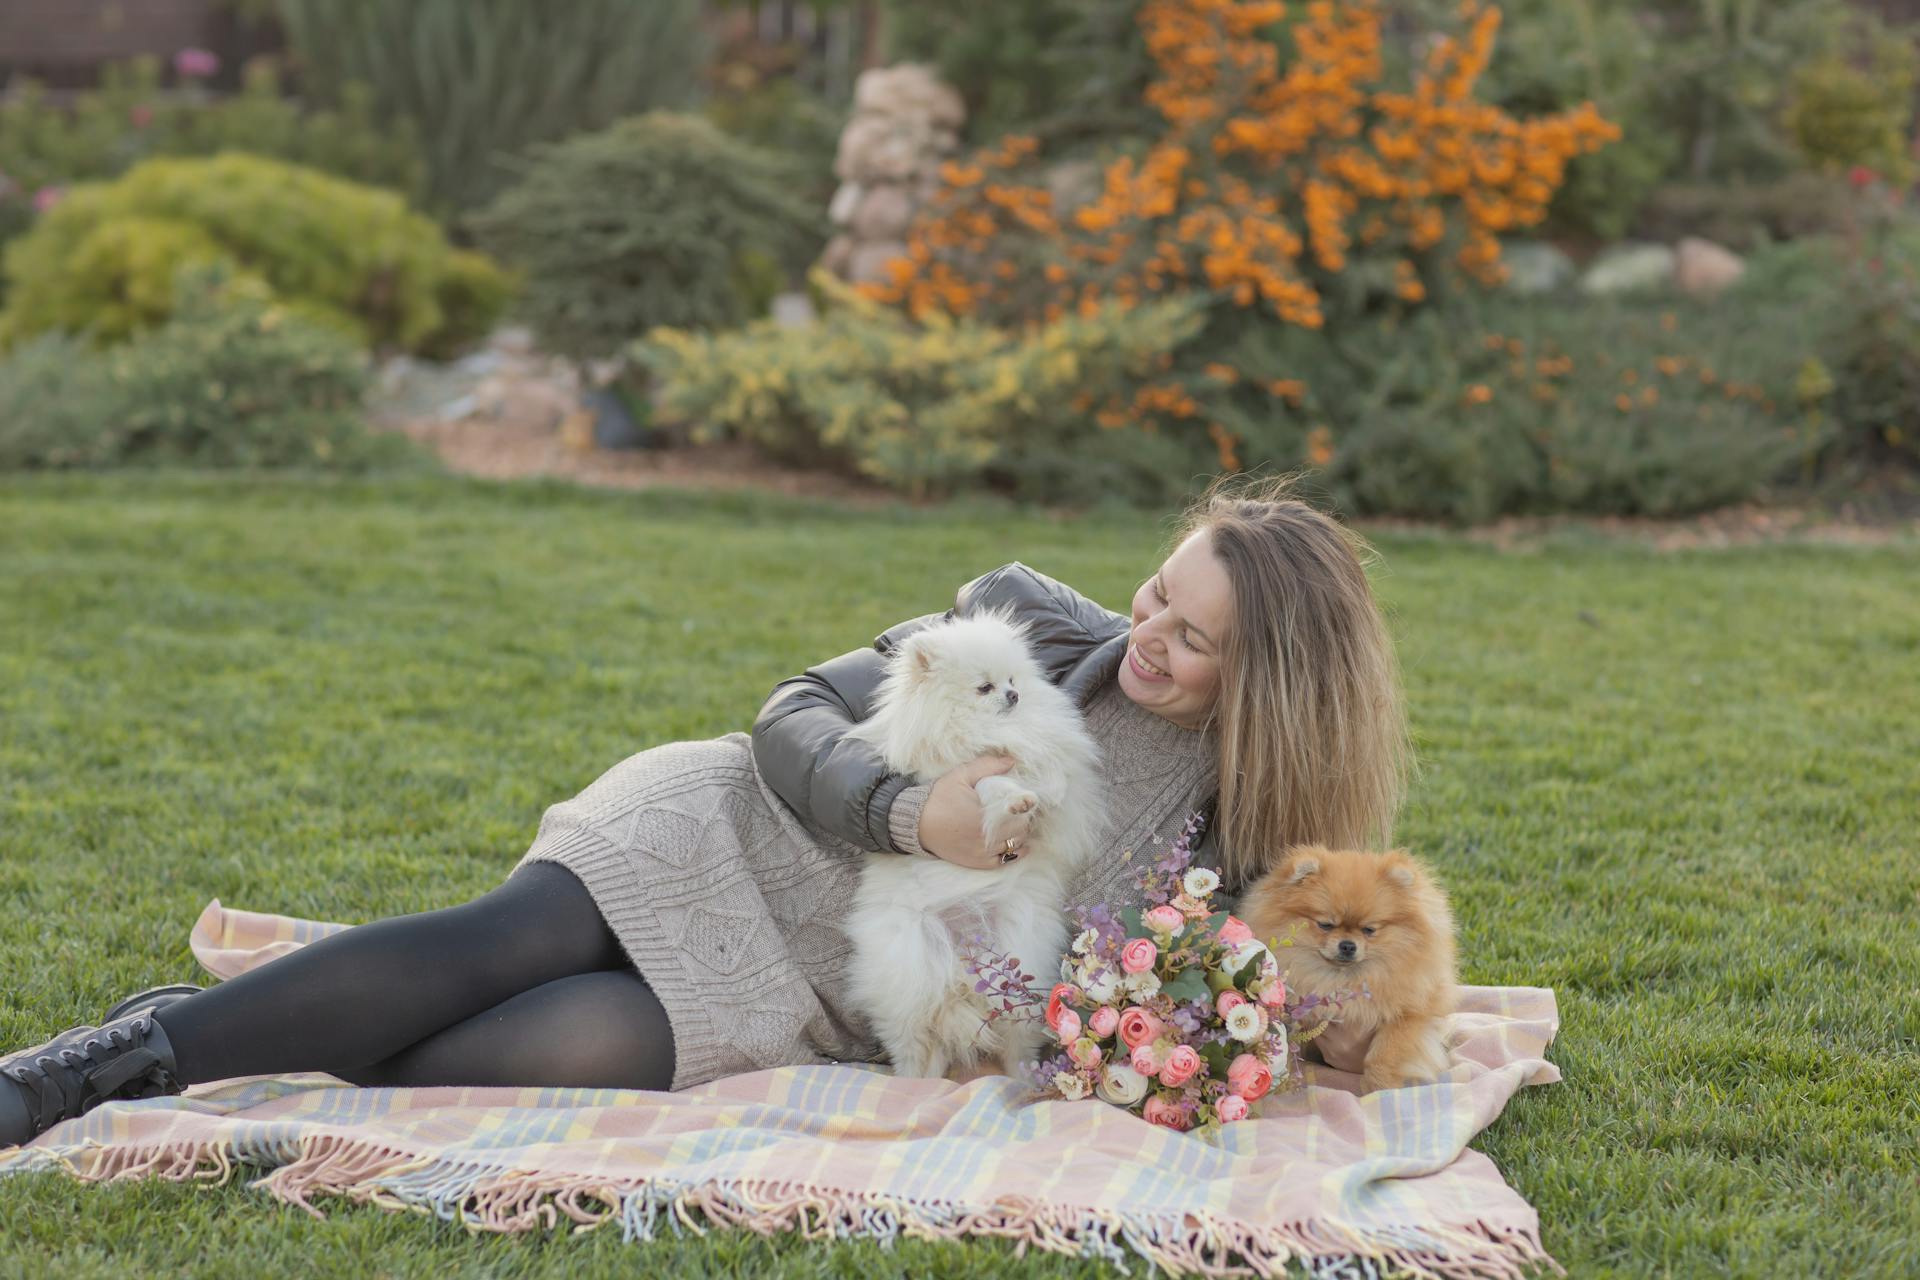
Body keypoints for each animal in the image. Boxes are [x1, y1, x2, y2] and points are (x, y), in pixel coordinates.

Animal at [844, 610, 1105, 1082]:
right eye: (985, 687)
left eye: (1012, 679)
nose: (1014, 694)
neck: (986, 727)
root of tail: (964, 975)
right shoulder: (951, 776)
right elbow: (991, 783)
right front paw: (1016, 799)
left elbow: (1052, 777)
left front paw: (1044, 792)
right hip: (910, 983)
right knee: (915, 1051)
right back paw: (915, 1086)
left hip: (1020, 977)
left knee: (1016, 1045)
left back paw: (1024, 1079)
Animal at [1244, 844, 1451, 1090]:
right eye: (1325, 925)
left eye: (1369, 930)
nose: (1348, 945)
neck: (1342, 978)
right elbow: (1287, 1050)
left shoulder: (1410, 1015)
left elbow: (1385, 1053)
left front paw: (1381, 1088)